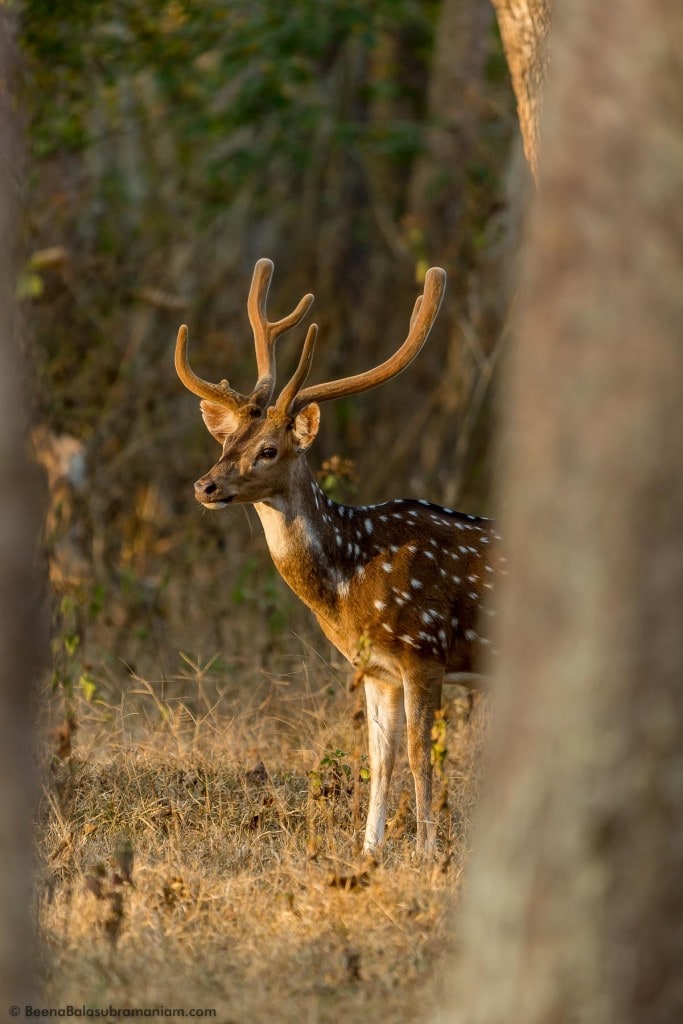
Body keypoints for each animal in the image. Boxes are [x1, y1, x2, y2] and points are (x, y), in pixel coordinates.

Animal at [174, 258, 499, 856]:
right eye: (225, 442)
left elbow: (420, 758)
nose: (205, 486)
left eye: (269, 450)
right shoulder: (374, 668)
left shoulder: (425, 649)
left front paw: (426, 853)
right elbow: (380, 760)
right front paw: (369, 851)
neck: (352, 581)